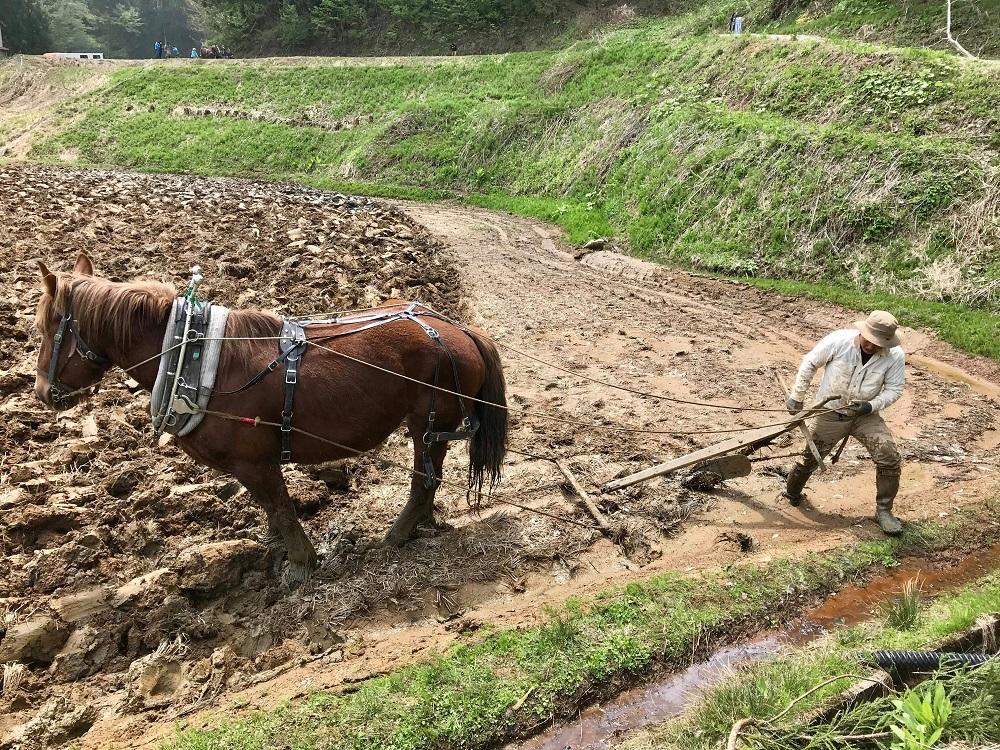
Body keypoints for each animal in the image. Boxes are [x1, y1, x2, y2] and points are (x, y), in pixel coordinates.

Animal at [33, 256, 508, 584]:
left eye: (47, 327)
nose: (42, 393)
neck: (193, 358)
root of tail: (459, 331)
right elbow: (270, 510)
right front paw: (275, 546)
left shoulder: (254, 463)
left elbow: (279, 506)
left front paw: (300, 563)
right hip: (431, 426)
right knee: (429, 479)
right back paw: (424, 523)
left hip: (428, 424)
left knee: (424, 478)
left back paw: (399, 533)